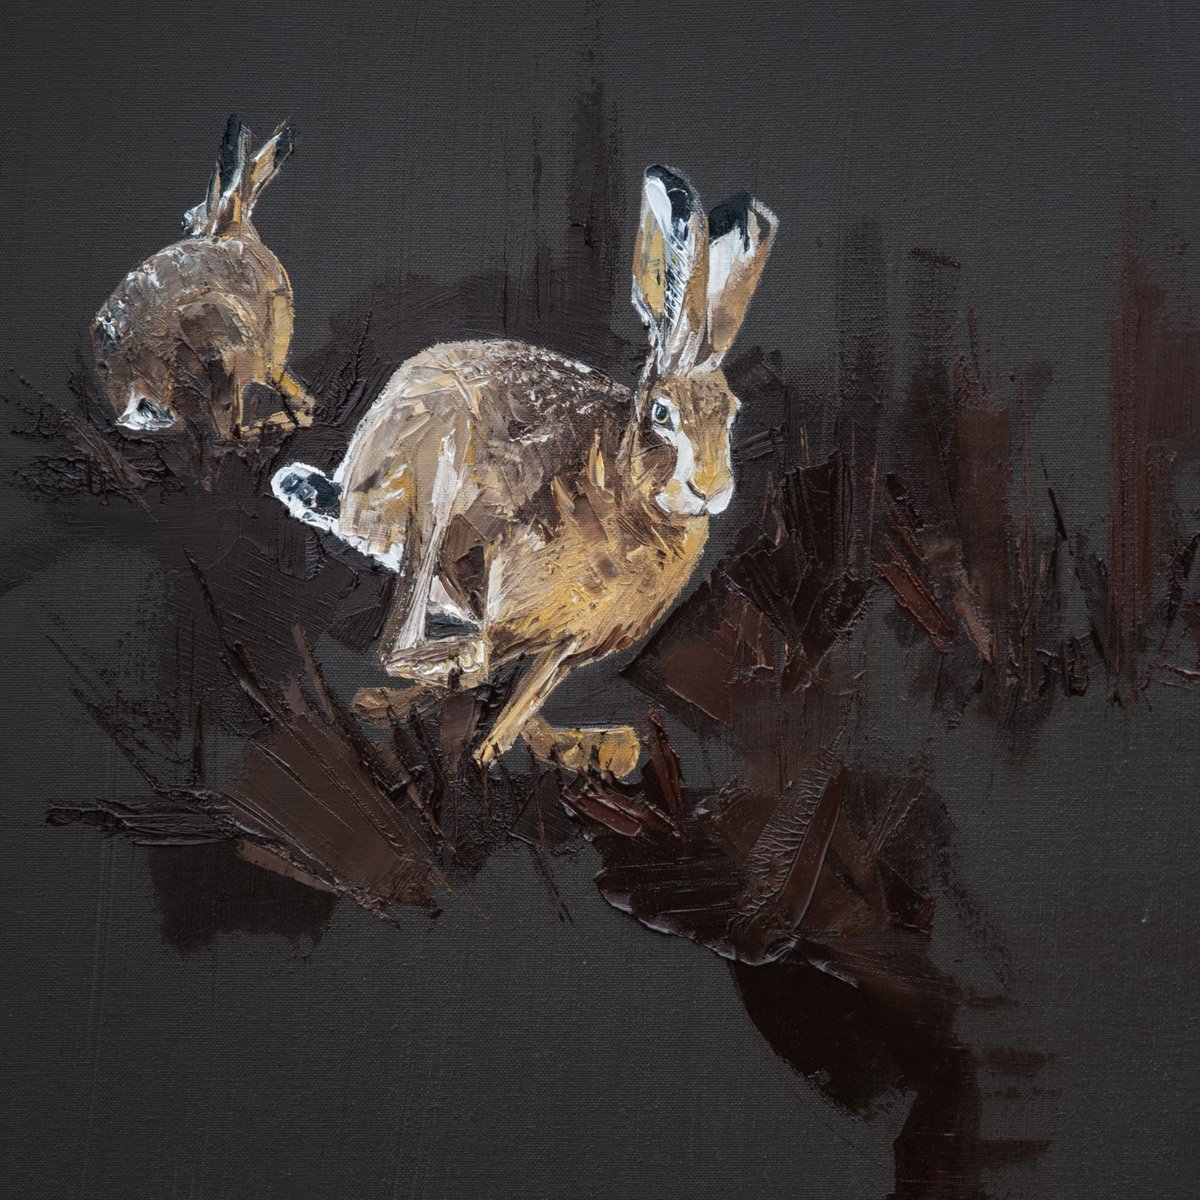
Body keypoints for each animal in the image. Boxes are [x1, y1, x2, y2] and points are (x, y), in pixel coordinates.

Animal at [92, 114, 316, 442]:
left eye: (185, 220)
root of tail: (141, 393)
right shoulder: (273, 339)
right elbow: (275, 376)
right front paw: (304, 404)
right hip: (220, 340)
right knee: (230, 432)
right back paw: (283, 421)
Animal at [273, 165, 777, 775]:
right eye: (662, 415)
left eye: (733, 414)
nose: (709, 490)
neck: (623, 486)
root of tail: (349, 486)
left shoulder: (568, 647)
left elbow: (513, 716)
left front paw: (547, 749)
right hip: (435, 472)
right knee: (403, 640)